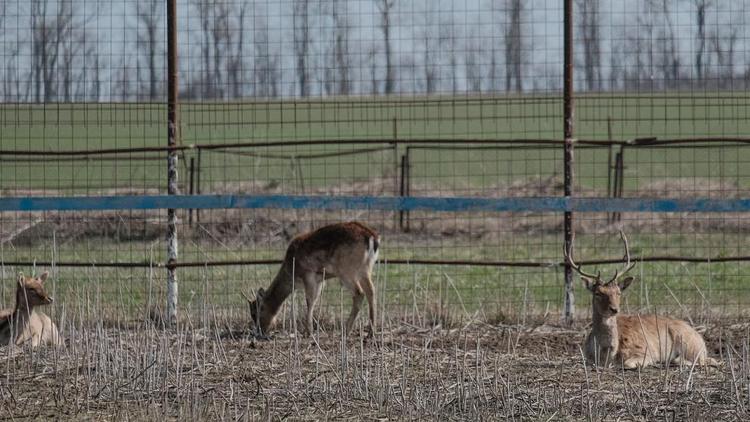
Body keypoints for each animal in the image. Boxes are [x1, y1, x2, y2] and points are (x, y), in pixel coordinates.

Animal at [248, 221, 382, 336]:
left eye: (257, 312)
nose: (259, 331)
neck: (292, 274)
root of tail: (372, 237)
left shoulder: (309, 274)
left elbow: (310, 301)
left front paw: (308, 331)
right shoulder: (319, 280)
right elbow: (315, 300)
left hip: (347, 270)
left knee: (359, 293)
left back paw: (346, 330)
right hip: (366, 268)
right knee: (371, 291)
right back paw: (371, 332)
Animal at [568, 234, 724, 370]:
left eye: (618, 292)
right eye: (598, 293)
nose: (614, 309)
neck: (606, 356)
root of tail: (698, 334)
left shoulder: (644, 352)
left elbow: (628, 363)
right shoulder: (587, 358)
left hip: (691, 344)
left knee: (710, 360)